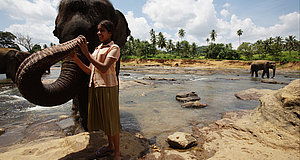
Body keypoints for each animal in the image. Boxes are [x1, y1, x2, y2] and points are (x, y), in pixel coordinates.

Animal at [15, 0, 130, 130]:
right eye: (56, 33)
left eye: (94, 31)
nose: (81, 39)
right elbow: (82, 86)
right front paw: (85, 127)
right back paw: (75, 111)